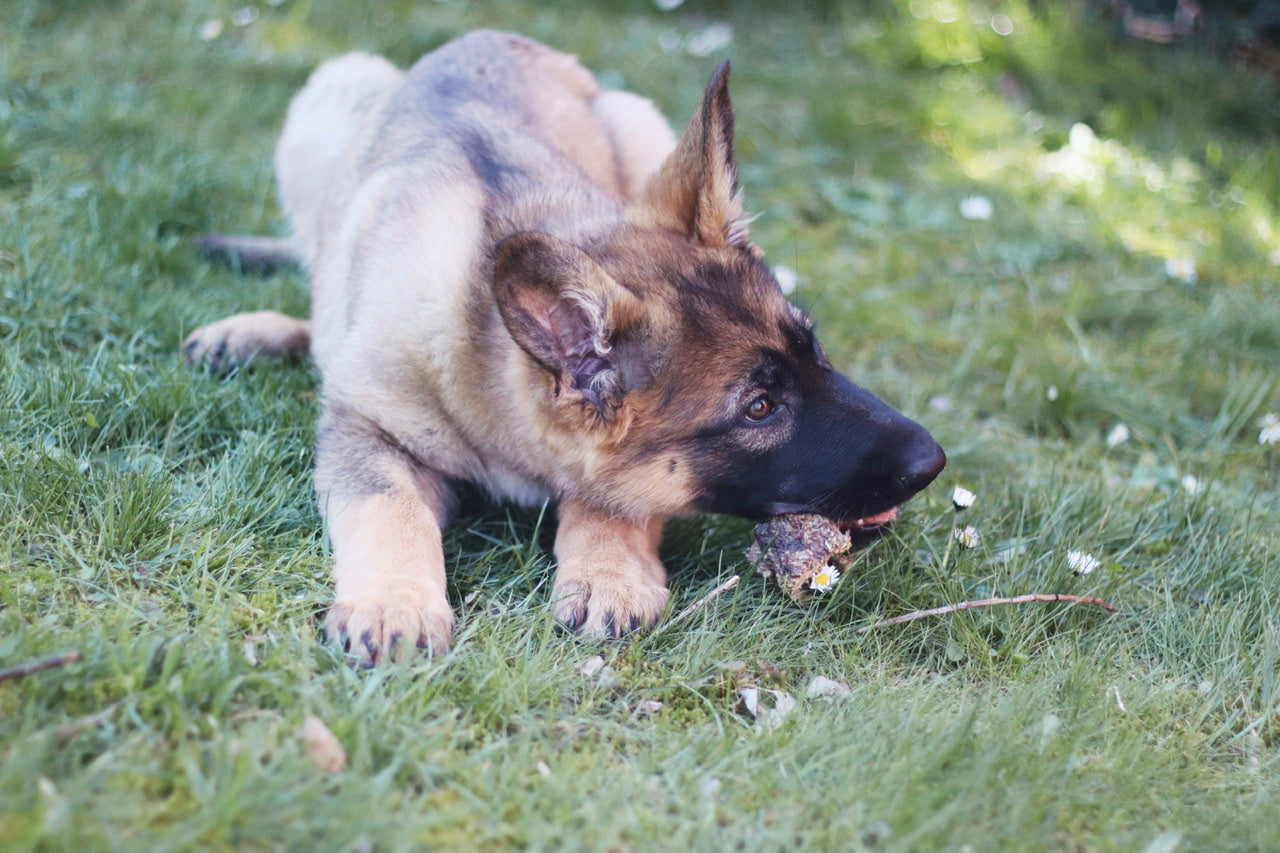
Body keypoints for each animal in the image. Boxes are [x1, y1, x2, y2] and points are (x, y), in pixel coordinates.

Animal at [185, 31, 947, 666]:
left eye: (814, 347)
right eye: (760, 407)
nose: (933, 461)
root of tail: (489, 34)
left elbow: (612, 498)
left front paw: (606, 571)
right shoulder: (364, 427)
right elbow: (388, 507)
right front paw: (391, 603)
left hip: (635, 123)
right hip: (333, 101)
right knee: (321, 277)